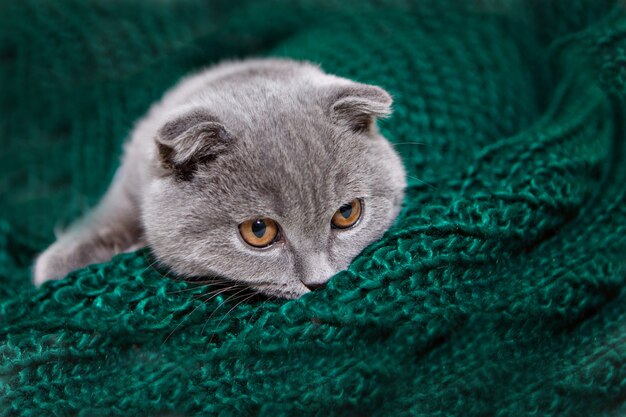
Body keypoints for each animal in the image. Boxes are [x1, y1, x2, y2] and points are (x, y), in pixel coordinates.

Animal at [34, 58, 404, 300]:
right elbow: (108, 215)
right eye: (259, 230)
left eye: (347, 213)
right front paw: (57, 261)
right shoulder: (131, 177)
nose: (318, 282)